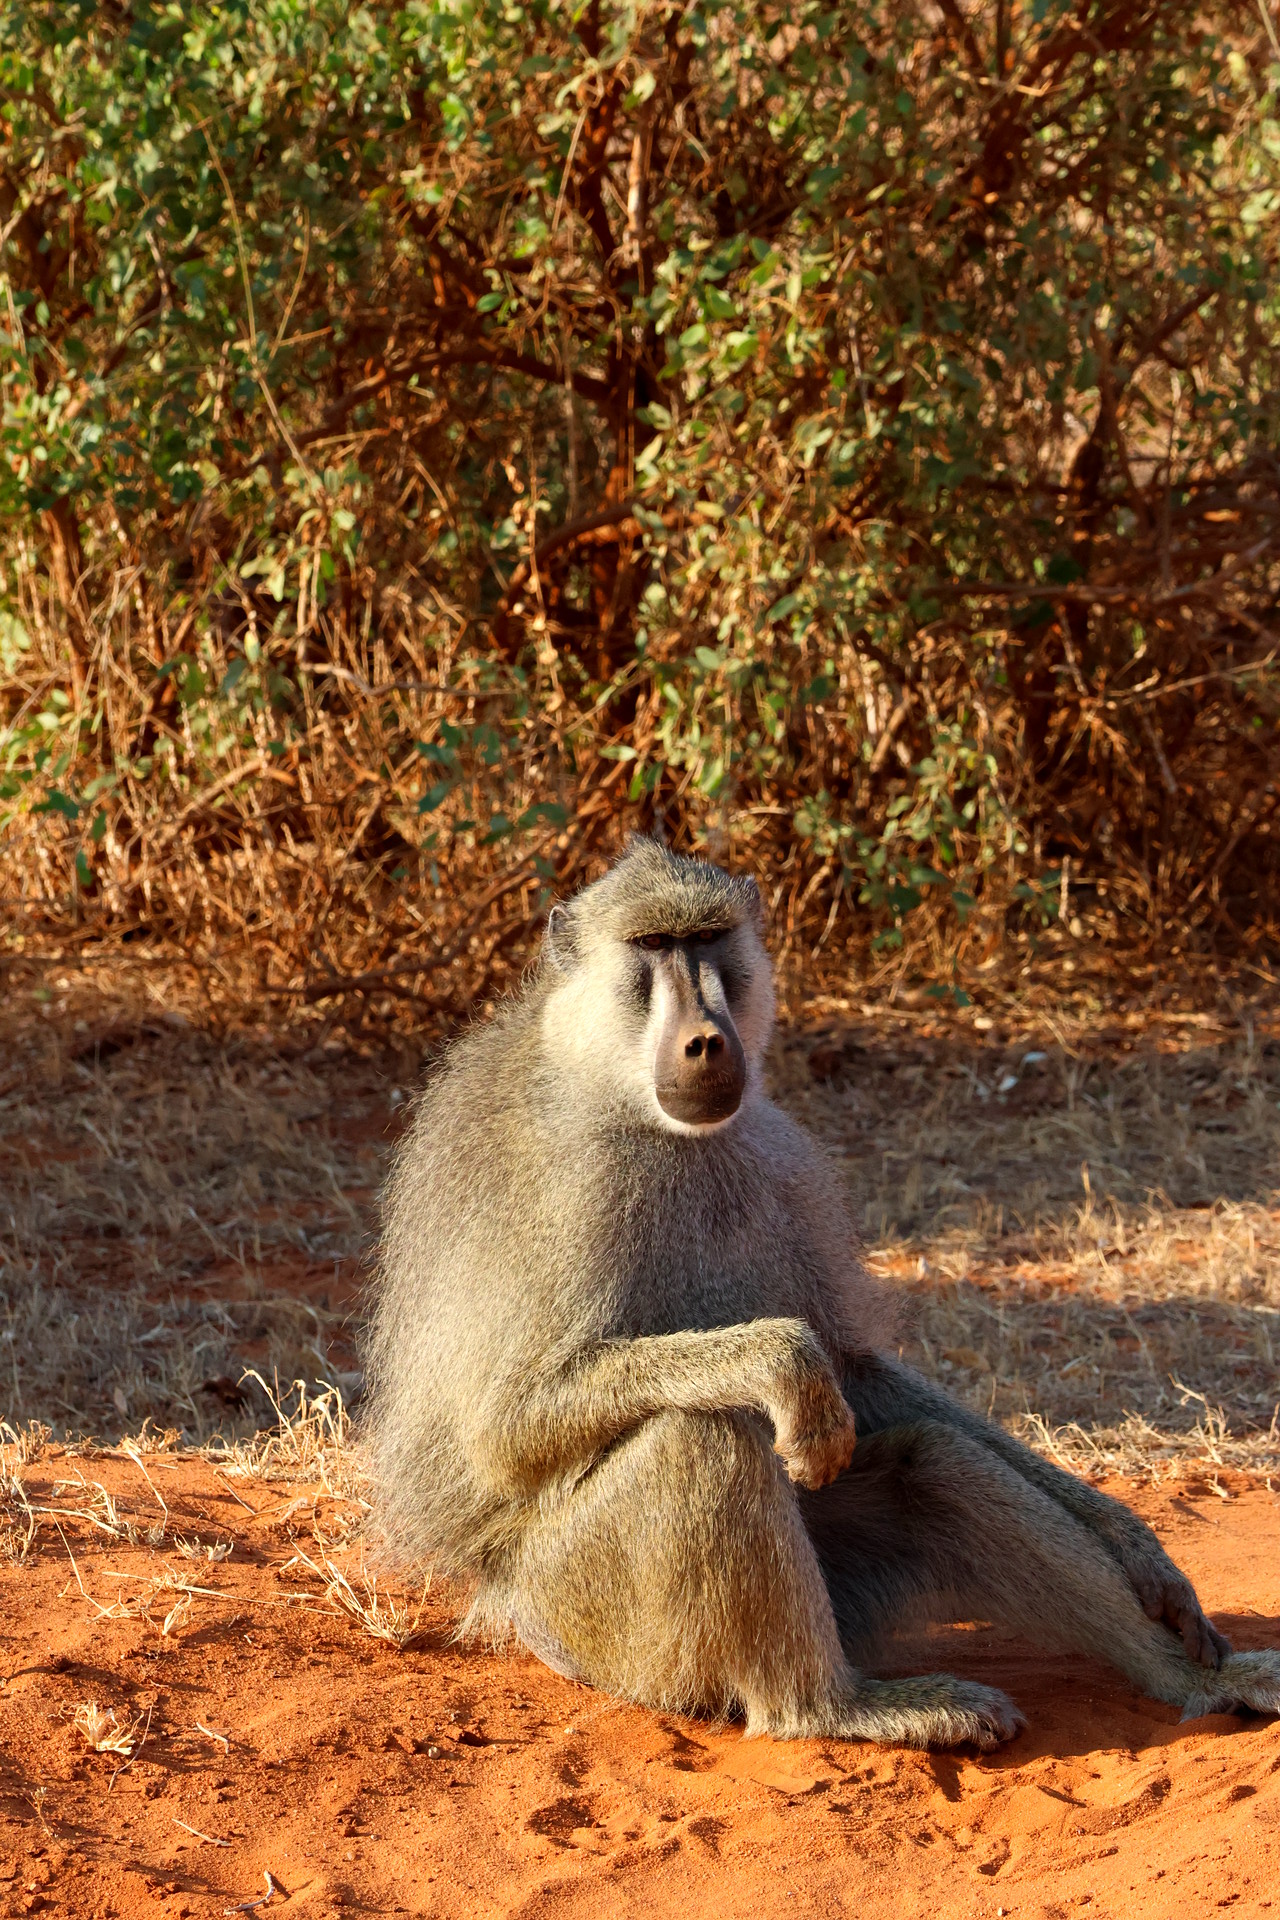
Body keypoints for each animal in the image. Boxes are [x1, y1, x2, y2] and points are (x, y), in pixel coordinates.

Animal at [364, 837, 1280, 1748]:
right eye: (652, 949)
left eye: (709, 942)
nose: (707, 1041)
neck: (637, 1106)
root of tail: (510, 1611)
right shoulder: (575, 1188)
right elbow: (506, 1429)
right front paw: (784, 1364)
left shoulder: (780, 1161)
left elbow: (858, 1372)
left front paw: (1130, 1541)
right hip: (593, 1618)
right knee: (702, 1436)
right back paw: (834, 1708)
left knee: (931, 1461)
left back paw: (1199, 1682)